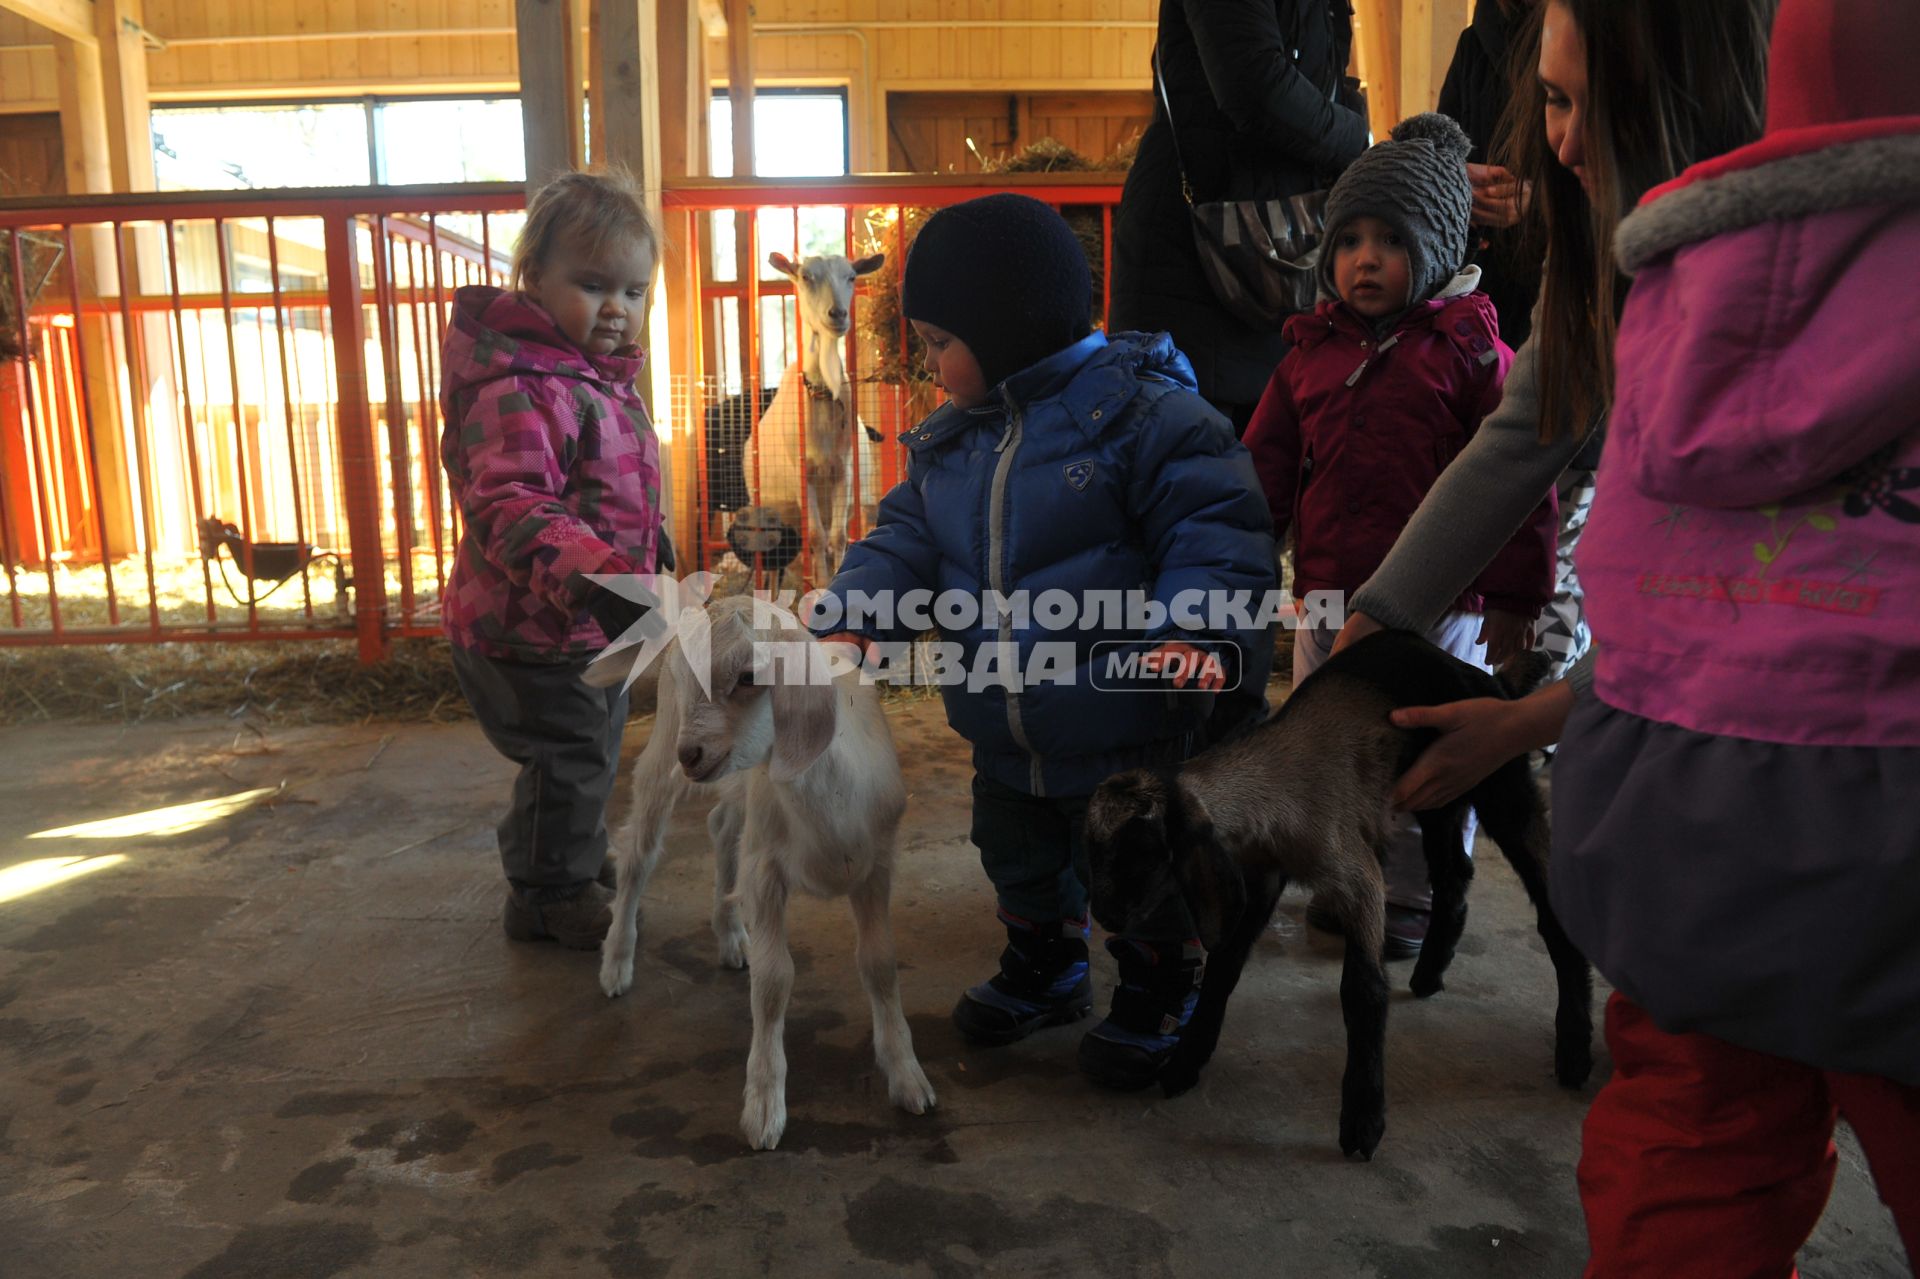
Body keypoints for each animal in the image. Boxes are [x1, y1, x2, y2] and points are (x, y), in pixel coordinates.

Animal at [744, 249, 887, 587]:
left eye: (851, 276)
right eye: (806, 276)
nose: (837, 314)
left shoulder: (843, 471)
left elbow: (837, 537)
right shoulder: (802, 473)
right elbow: (817, 537)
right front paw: (821, 586)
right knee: (776, 557)